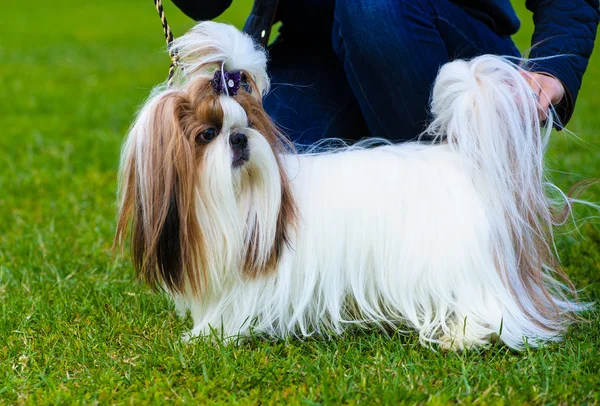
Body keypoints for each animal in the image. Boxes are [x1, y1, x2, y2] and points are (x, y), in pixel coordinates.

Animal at [115, 21, 588, 348]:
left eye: (246, 123)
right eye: (207, 134)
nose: (239, 139)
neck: (235, 199)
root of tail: (467, 160)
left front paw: (211, 335)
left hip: (462, 265)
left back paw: (464, 335)